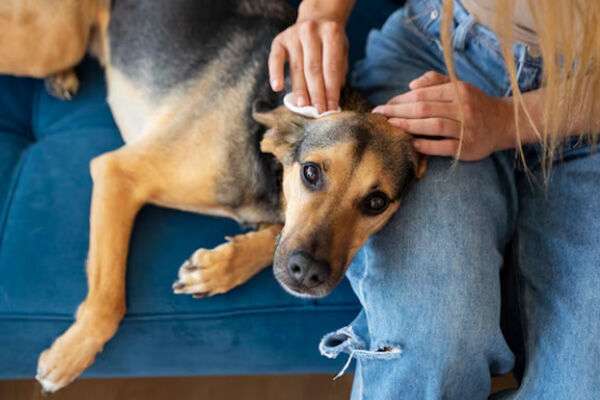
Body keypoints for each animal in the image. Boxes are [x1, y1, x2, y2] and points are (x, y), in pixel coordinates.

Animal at [1, 0, 426, 393]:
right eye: (311, 173)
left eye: (376, 203)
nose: (308, 273)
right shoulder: (118, 173)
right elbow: (109, 298)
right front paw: (71, 352)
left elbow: (273, 237)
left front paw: (219, 268)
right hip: (55, 41)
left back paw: (61, 77)